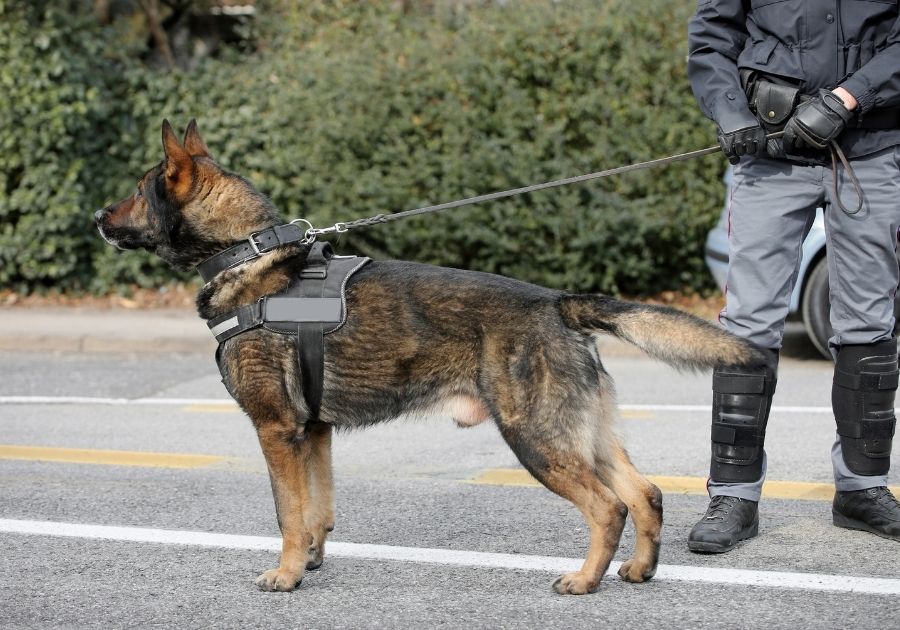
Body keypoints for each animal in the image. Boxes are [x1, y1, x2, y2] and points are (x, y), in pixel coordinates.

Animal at [96, 119, 760, 596]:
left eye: (137, 190)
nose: (97, 216)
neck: (247, 253)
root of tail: (559, 303)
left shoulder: (277, 431)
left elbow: (288, 513)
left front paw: (285, 575)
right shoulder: (314, 434)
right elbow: (316, 510)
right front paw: (310, 562)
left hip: (535, 440)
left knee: (608, 506)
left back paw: (584, 580)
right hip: (583, 435)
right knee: (645, 494)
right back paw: (639, 570)